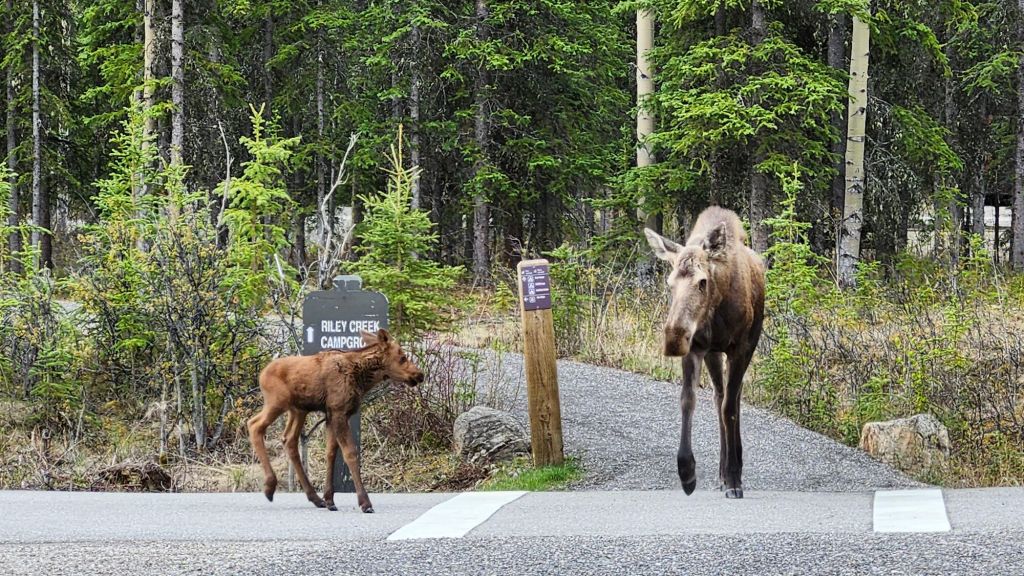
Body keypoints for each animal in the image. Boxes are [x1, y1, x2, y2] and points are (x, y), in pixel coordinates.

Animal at [248, 329, 424, 513]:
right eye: (402, 357)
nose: (420, 375)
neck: (362, 379)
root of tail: (261, 374)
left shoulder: (331, 414)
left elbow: (331, 453)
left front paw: (329, 499)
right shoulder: (339, 411)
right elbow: (350, 453)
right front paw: (365, 502)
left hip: (298, 410)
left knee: (289, 439)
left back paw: (315, 498)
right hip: (277, 402)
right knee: (254, 425)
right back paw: (270, 485)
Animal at [645, 206, 765, 499]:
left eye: (702, 281)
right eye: (670, 283)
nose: (674, 337)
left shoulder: (739, 348)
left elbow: (730, 408)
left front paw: (734, 480)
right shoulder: (697, 348)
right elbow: (688, 400)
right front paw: (687, 472)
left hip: (749, 344)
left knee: (731, 400)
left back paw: (734, 469)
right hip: (713, 353)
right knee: (718, 396)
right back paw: (722, 472)